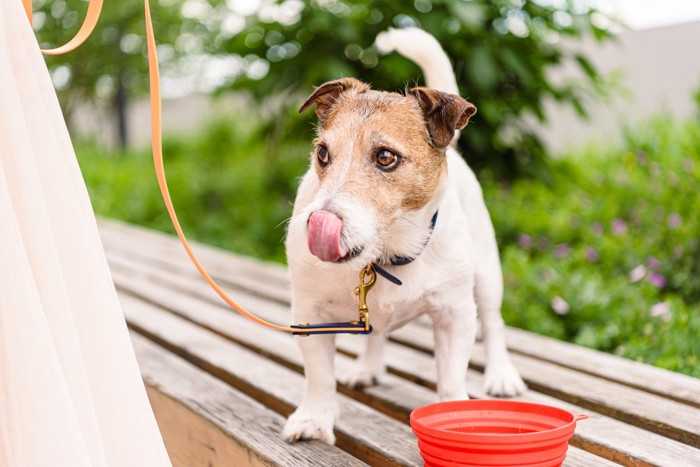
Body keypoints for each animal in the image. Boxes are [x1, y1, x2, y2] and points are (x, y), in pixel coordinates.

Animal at [284, 27, 524, 444]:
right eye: (322, 154)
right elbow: (319, 376)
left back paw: (501, 374)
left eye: (385, 157)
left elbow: (451, 379)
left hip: (487, 274)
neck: (385, 256)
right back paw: (367, 368)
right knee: (376, 333)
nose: (317, 223)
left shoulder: (455, 314)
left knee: (494, 324)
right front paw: (314, 418)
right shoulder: (309, 316)